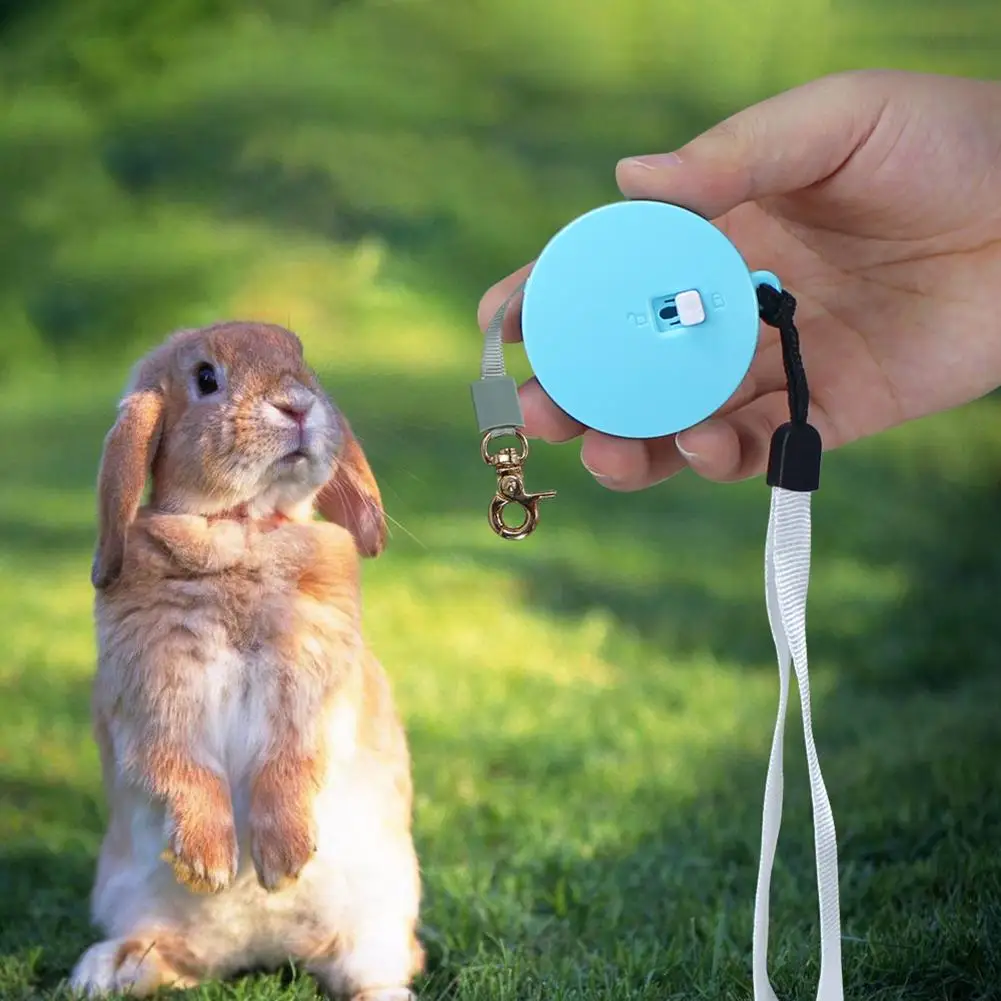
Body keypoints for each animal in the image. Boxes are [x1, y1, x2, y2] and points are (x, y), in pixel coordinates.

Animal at [68, 321, 424, 1000]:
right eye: (206, 378)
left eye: (302, 361)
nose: (298, 405)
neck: (242, 529)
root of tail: (260, 950)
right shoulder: (156, 694)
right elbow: (182, 766)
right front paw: (209, 864)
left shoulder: (311, 688)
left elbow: (291, 762)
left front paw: (282, 863)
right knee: (168, 956)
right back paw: (104, 970)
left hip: (379, 922)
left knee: (377, 970)